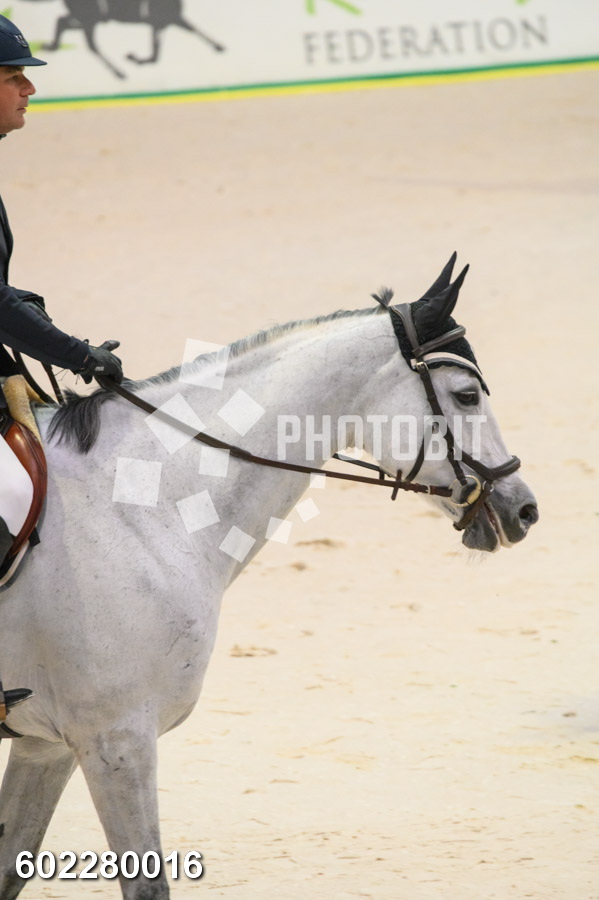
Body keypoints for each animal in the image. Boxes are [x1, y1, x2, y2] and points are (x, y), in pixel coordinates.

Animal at [24, 0, 225, 79]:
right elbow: (155, 54)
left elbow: (195, 31)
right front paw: (136, 59)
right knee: (90, 43)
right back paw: (118, 72)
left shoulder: (167, 21)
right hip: (90, 19)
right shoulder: (162, 21)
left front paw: (219, 46)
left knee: (63, 23)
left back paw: (52, 46)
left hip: (90, 19)